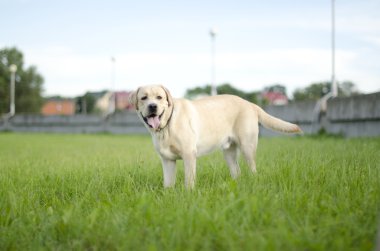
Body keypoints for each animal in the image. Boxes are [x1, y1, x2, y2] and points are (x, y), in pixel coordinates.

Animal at [129, 84, 302, 188]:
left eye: (159, 97)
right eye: (144, 98)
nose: (153, 106)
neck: (166, 125)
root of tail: (249, 103)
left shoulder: (189, 155)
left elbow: (189, 181)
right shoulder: (167, 160)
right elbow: (168, 183)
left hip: (248, 147)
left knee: (253, 170)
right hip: (229, 153)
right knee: (237, 171)